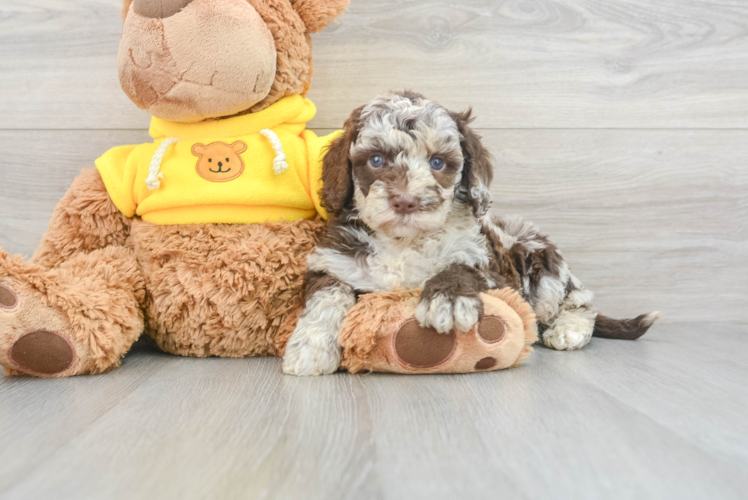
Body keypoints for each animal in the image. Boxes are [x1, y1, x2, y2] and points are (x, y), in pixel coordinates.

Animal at [282, 92, 660, 376]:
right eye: (376, 160)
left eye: (437, 163)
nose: (406, 201)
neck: (404, 242)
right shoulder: (333, 262)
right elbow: (327, 297)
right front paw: (310, 349)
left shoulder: (491, 268)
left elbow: (461, 266)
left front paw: (447, 301)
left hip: (538, 263)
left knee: (580, 302)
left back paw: (569, 330)